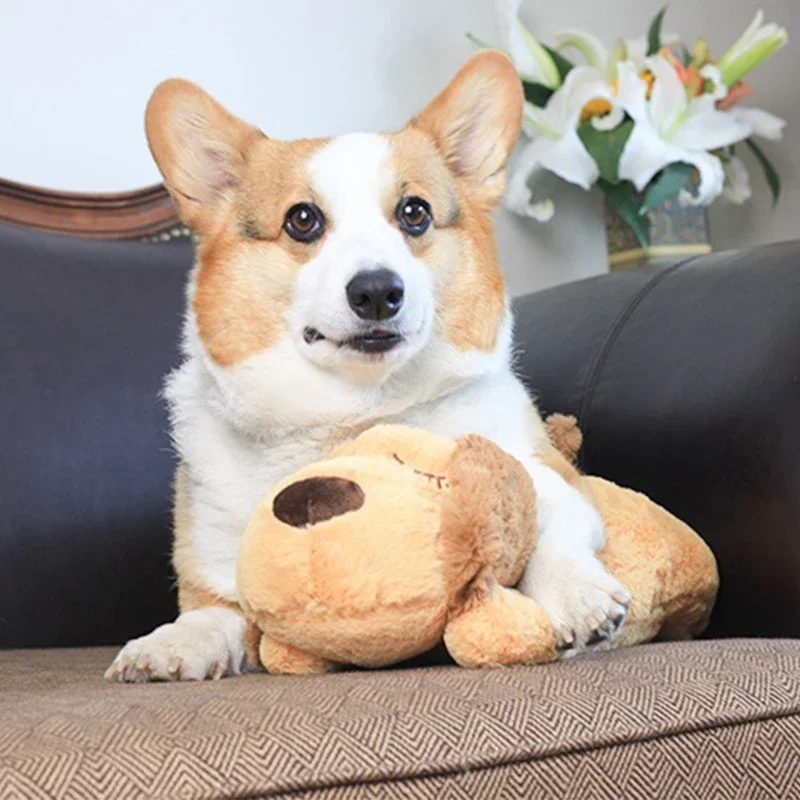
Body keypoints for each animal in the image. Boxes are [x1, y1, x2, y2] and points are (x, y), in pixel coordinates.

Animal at [108, 51, 632, 680]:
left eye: (415, 213)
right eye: (302, 219)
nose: (379, 292)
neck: (353, 414)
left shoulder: (543, 470)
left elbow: (543, 516)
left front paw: (575, 593)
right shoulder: (215, 569)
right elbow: (213, 614)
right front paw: (170, 643)